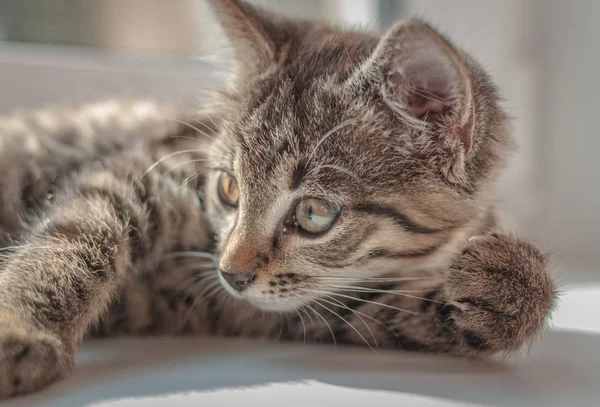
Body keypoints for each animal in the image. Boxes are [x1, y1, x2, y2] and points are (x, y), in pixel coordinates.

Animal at [0, 0, 556, 398]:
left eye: (314, 214)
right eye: (228, 189)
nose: (231, 274)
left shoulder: (308, 309)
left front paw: (512, 285)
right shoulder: (149, 172)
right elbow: (74, 239)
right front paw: (20, 329)